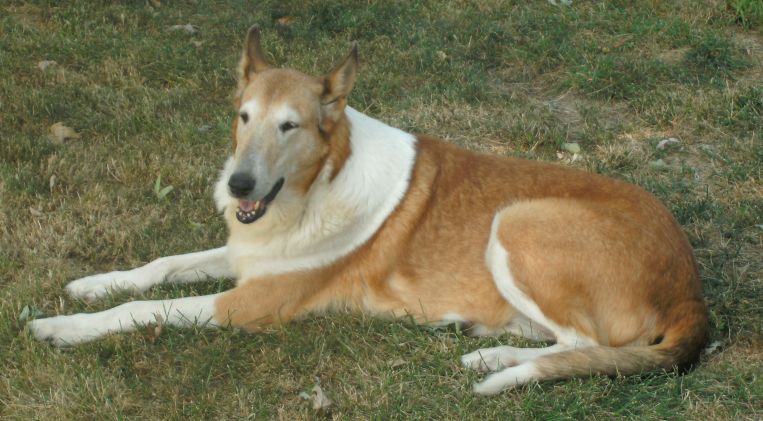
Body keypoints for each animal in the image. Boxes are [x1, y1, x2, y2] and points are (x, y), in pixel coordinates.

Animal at [29, 26, 712, 394]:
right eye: (243, 116)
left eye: (290, 125)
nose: (238, 185)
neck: (314, 189)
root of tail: (691, 288)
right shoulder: (248, 254)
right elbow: (161, 266)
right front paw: (92, 284)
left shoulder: (251, 302)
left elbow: (146, 308)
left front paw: (62, 326)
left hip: (517, 222)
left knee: (582, 344)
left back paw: (493, 359)